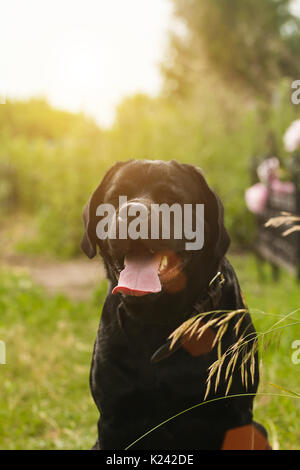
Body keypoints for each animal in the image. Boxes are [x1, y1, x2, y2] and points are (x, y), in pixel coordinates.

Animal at [81, 160, 270, 450]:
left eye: (172, 200)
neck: (160, 321)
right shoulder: (114, 419)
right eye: (115, 198)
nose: (133, 212)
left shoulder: (235, 413)